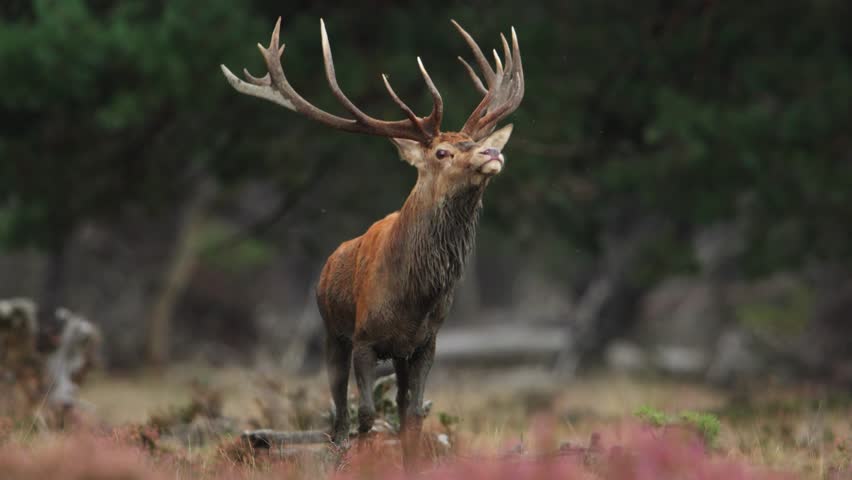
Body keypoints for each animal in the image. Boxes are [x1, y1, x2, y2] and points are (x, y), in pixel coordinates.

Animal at [221, 17, 523, 460]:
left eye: (475, 143)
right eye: (442, 153)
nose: (492, 154)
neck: (414, 297)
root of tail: (329, 260)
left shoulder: (425, 343)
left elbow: (412, 415)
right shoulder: (364, 340)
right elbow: (365, 414)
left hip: (395, 353)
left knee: (395, 405)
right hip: (331, 331)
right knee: (338, 413)